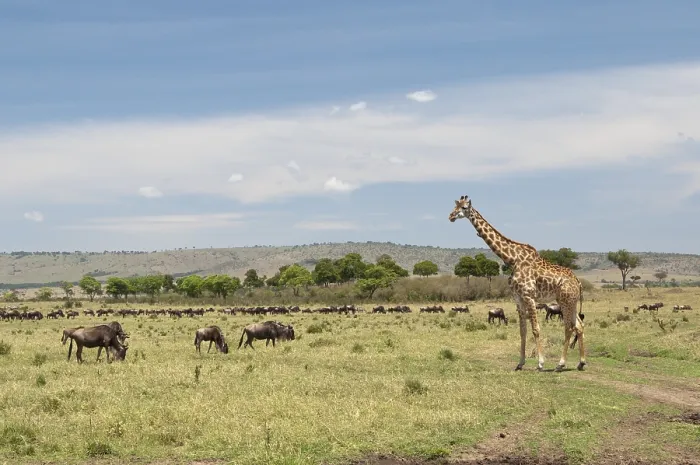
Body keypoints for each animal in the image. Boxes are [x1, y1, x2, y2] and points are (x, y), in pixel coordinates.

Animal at [448, 195, 586, 372]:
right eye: (455, 206)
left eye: (464, 207)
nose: (451, 216)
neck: (511, 259)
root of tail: (578, 282)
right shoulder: (518, 298)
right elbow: (523, 330)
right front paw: (520, 363)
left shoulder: (529, 296)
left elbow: (536, 329)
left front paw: (540, 363)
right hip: (571, 301)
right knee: (579, 326)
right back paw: (581, 362)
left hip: (565, 300)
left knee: (569, 327)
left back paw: (560, 364)